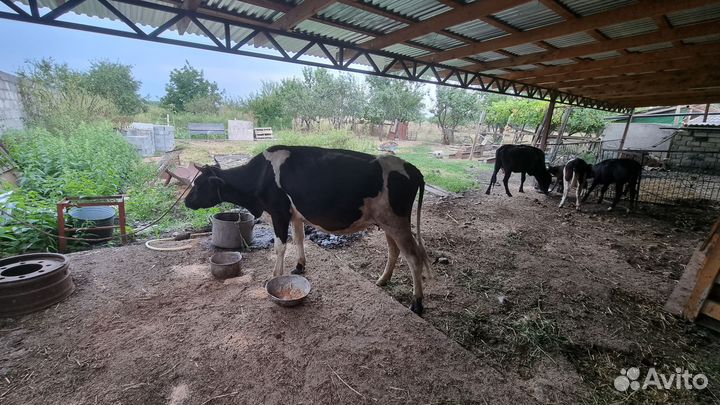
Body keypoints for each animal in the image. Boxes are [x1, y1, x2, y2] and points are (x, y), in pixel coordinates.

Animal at [184, 145, 431, 314]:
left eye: (199, 184)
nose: (186, 201)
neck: (260, 177)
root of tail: (411, 168)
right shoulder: (295, 215)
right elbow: (299, 239)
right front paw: (299, 266)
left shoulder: (279, 212)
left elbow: (280, 247)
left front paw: (274, 275)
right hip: (386, 222)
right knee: (394, 251)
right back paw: (382, 280)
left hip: (396, 221)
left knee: (414, 256)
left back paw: (417, 302)